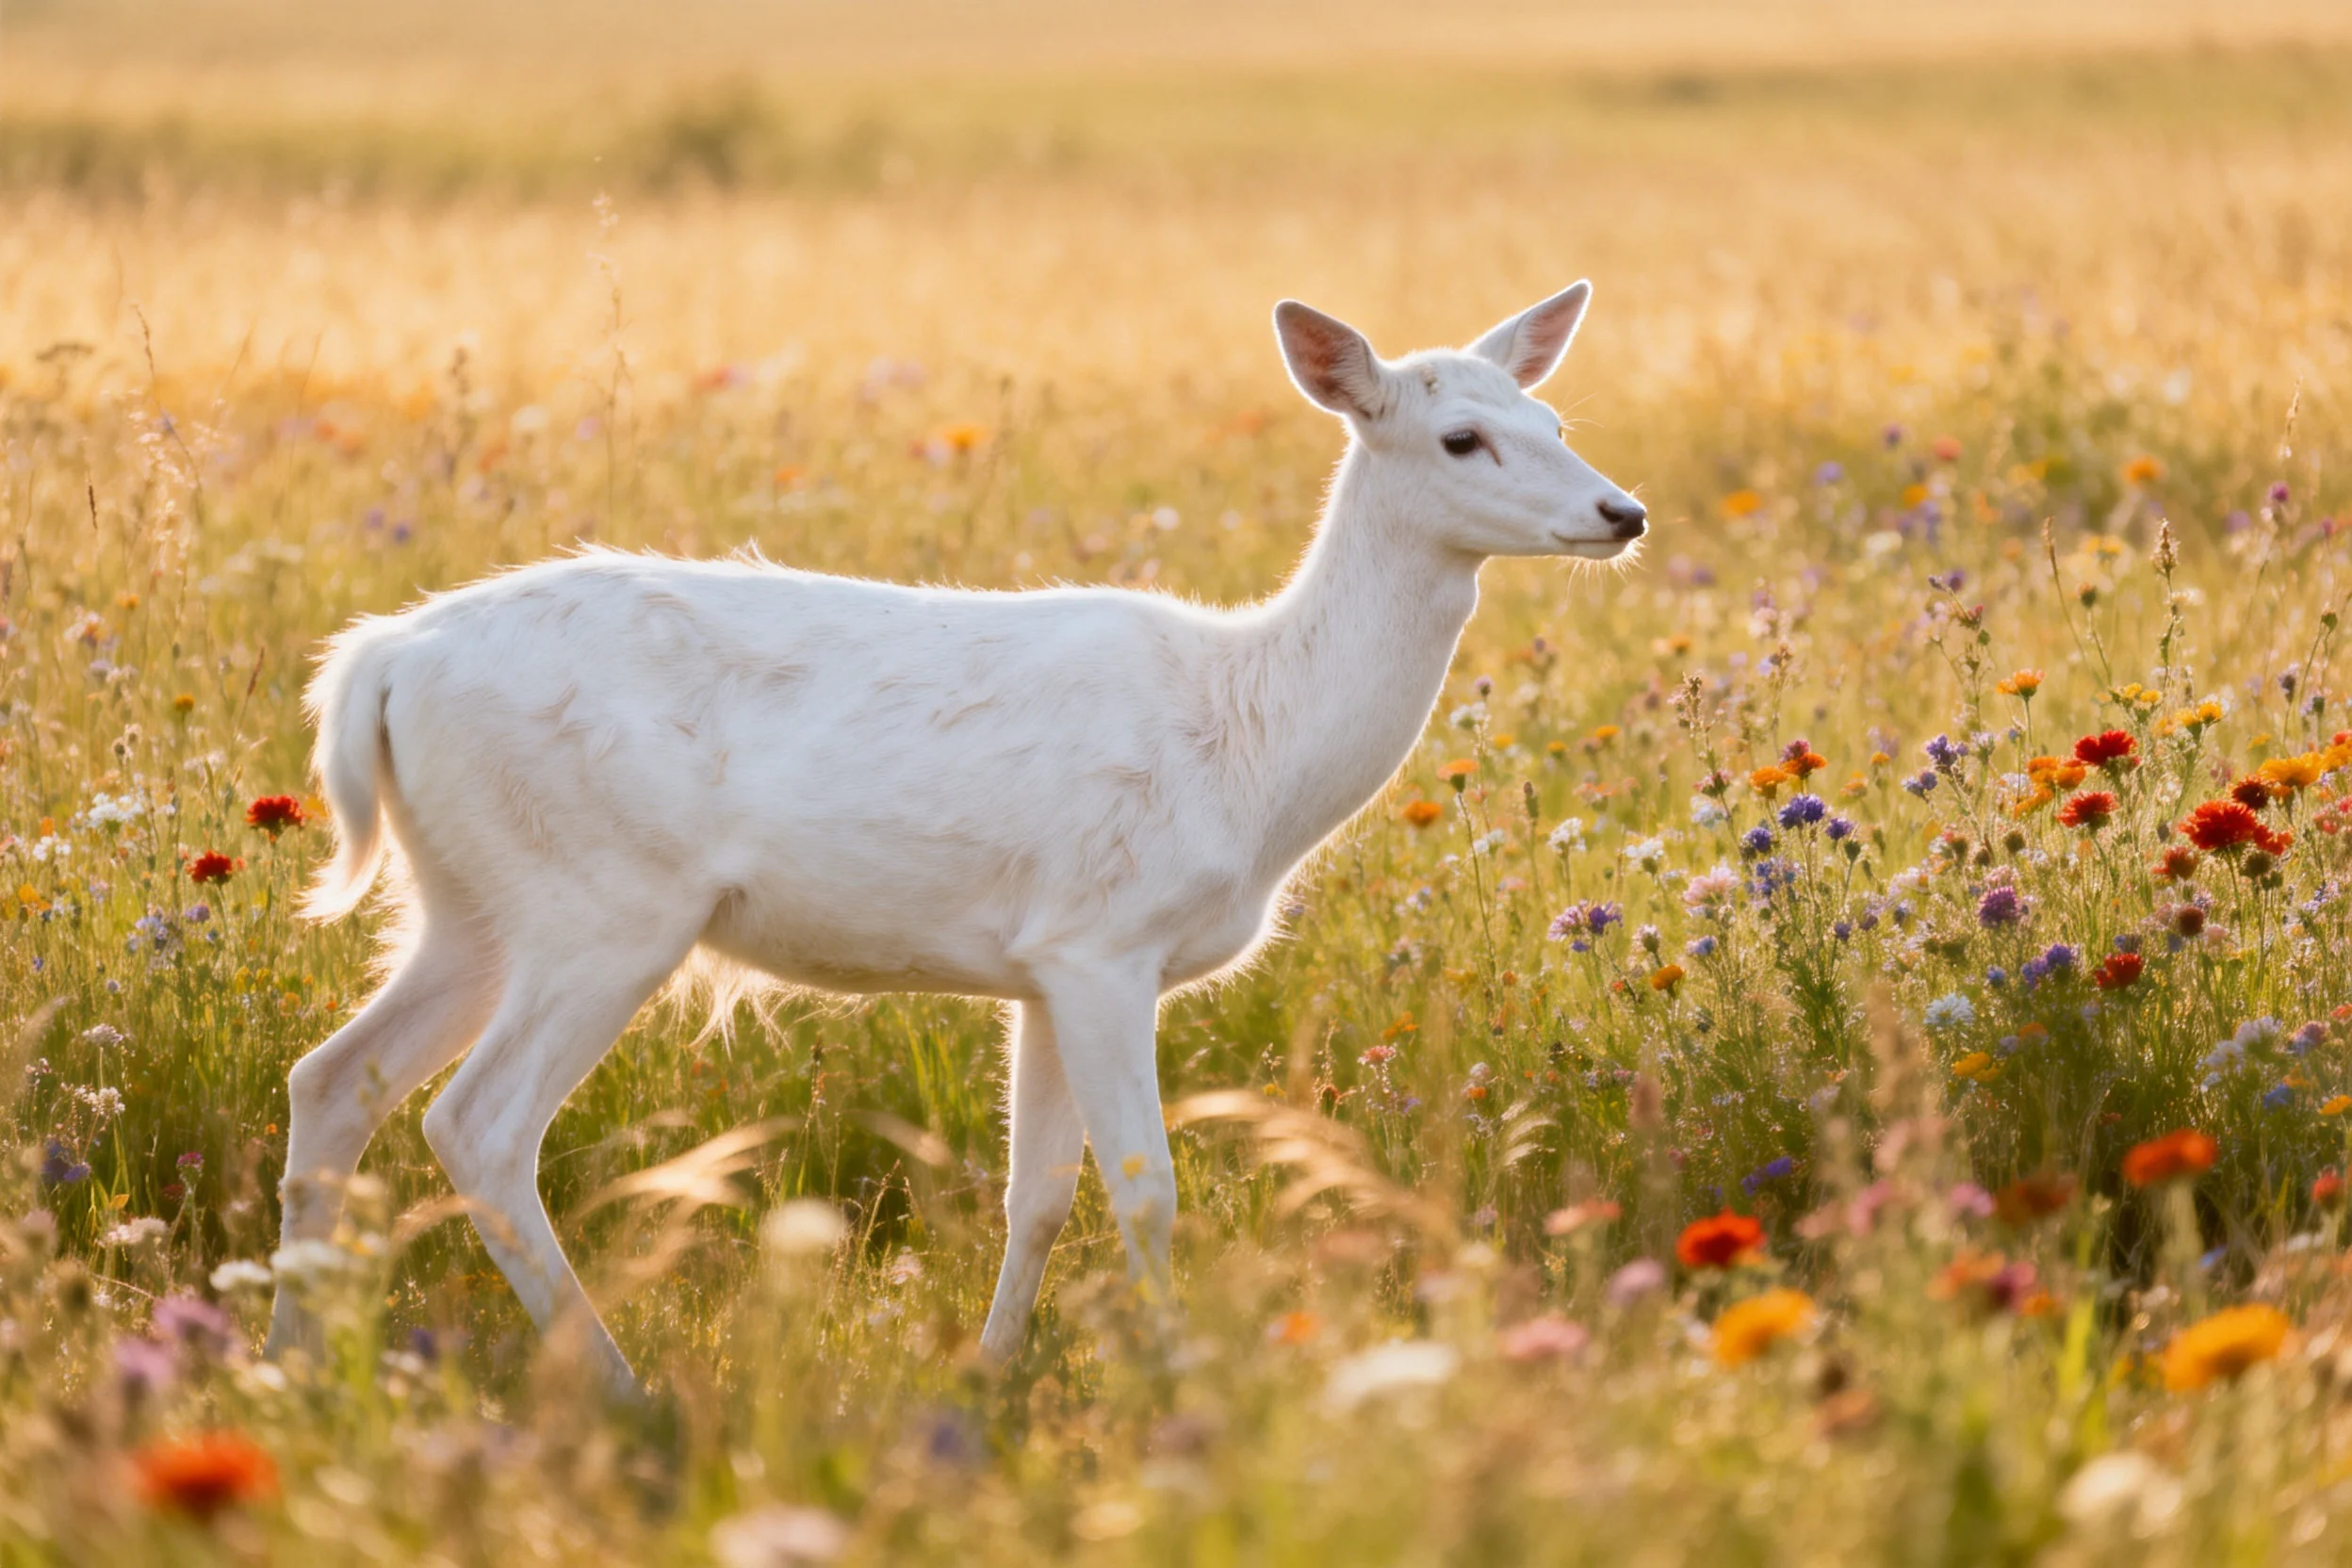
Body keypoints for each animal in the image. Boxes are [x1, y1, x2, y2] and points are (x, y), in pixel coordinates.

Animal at [262, 284, 1647, 1392]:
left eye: (1558, 426)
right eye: (1463, 437)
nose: (1622, 510)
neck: (1256, 745)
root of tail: (382, 663)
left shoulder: (1039, 963)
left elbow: (1038, 1194)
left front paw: (991, 1376)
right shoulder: (1105, 937)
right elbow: (1146, 1189)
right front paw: (1183, 1385)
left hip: (470, 900)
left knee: (333, 1077)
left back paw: (292, 1365)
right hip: (601, 899)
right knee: (478, 1123)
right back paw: (617, 1386)